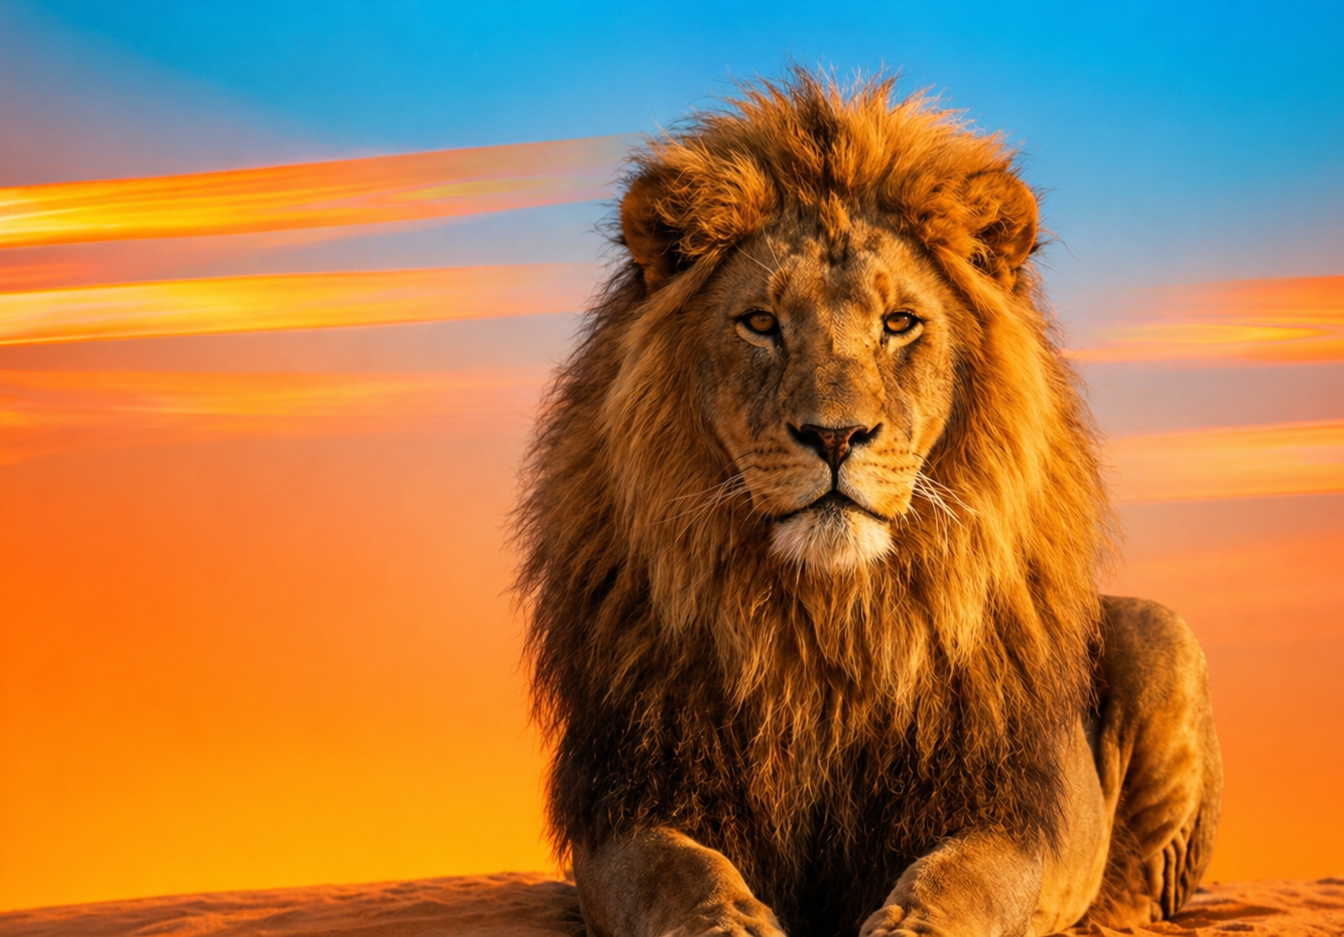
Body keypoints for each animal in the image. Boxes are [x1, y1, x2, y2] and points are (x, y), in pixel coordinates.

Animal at [515, 72, 1221, 937]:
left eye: (899, 323)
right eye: (761, 323)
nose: (834, 434)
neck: (835, 624)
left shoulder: (1003, 799)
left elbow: (965, 877)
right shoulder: (632, 788)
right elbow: (676, 872)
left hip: (1162, 632)